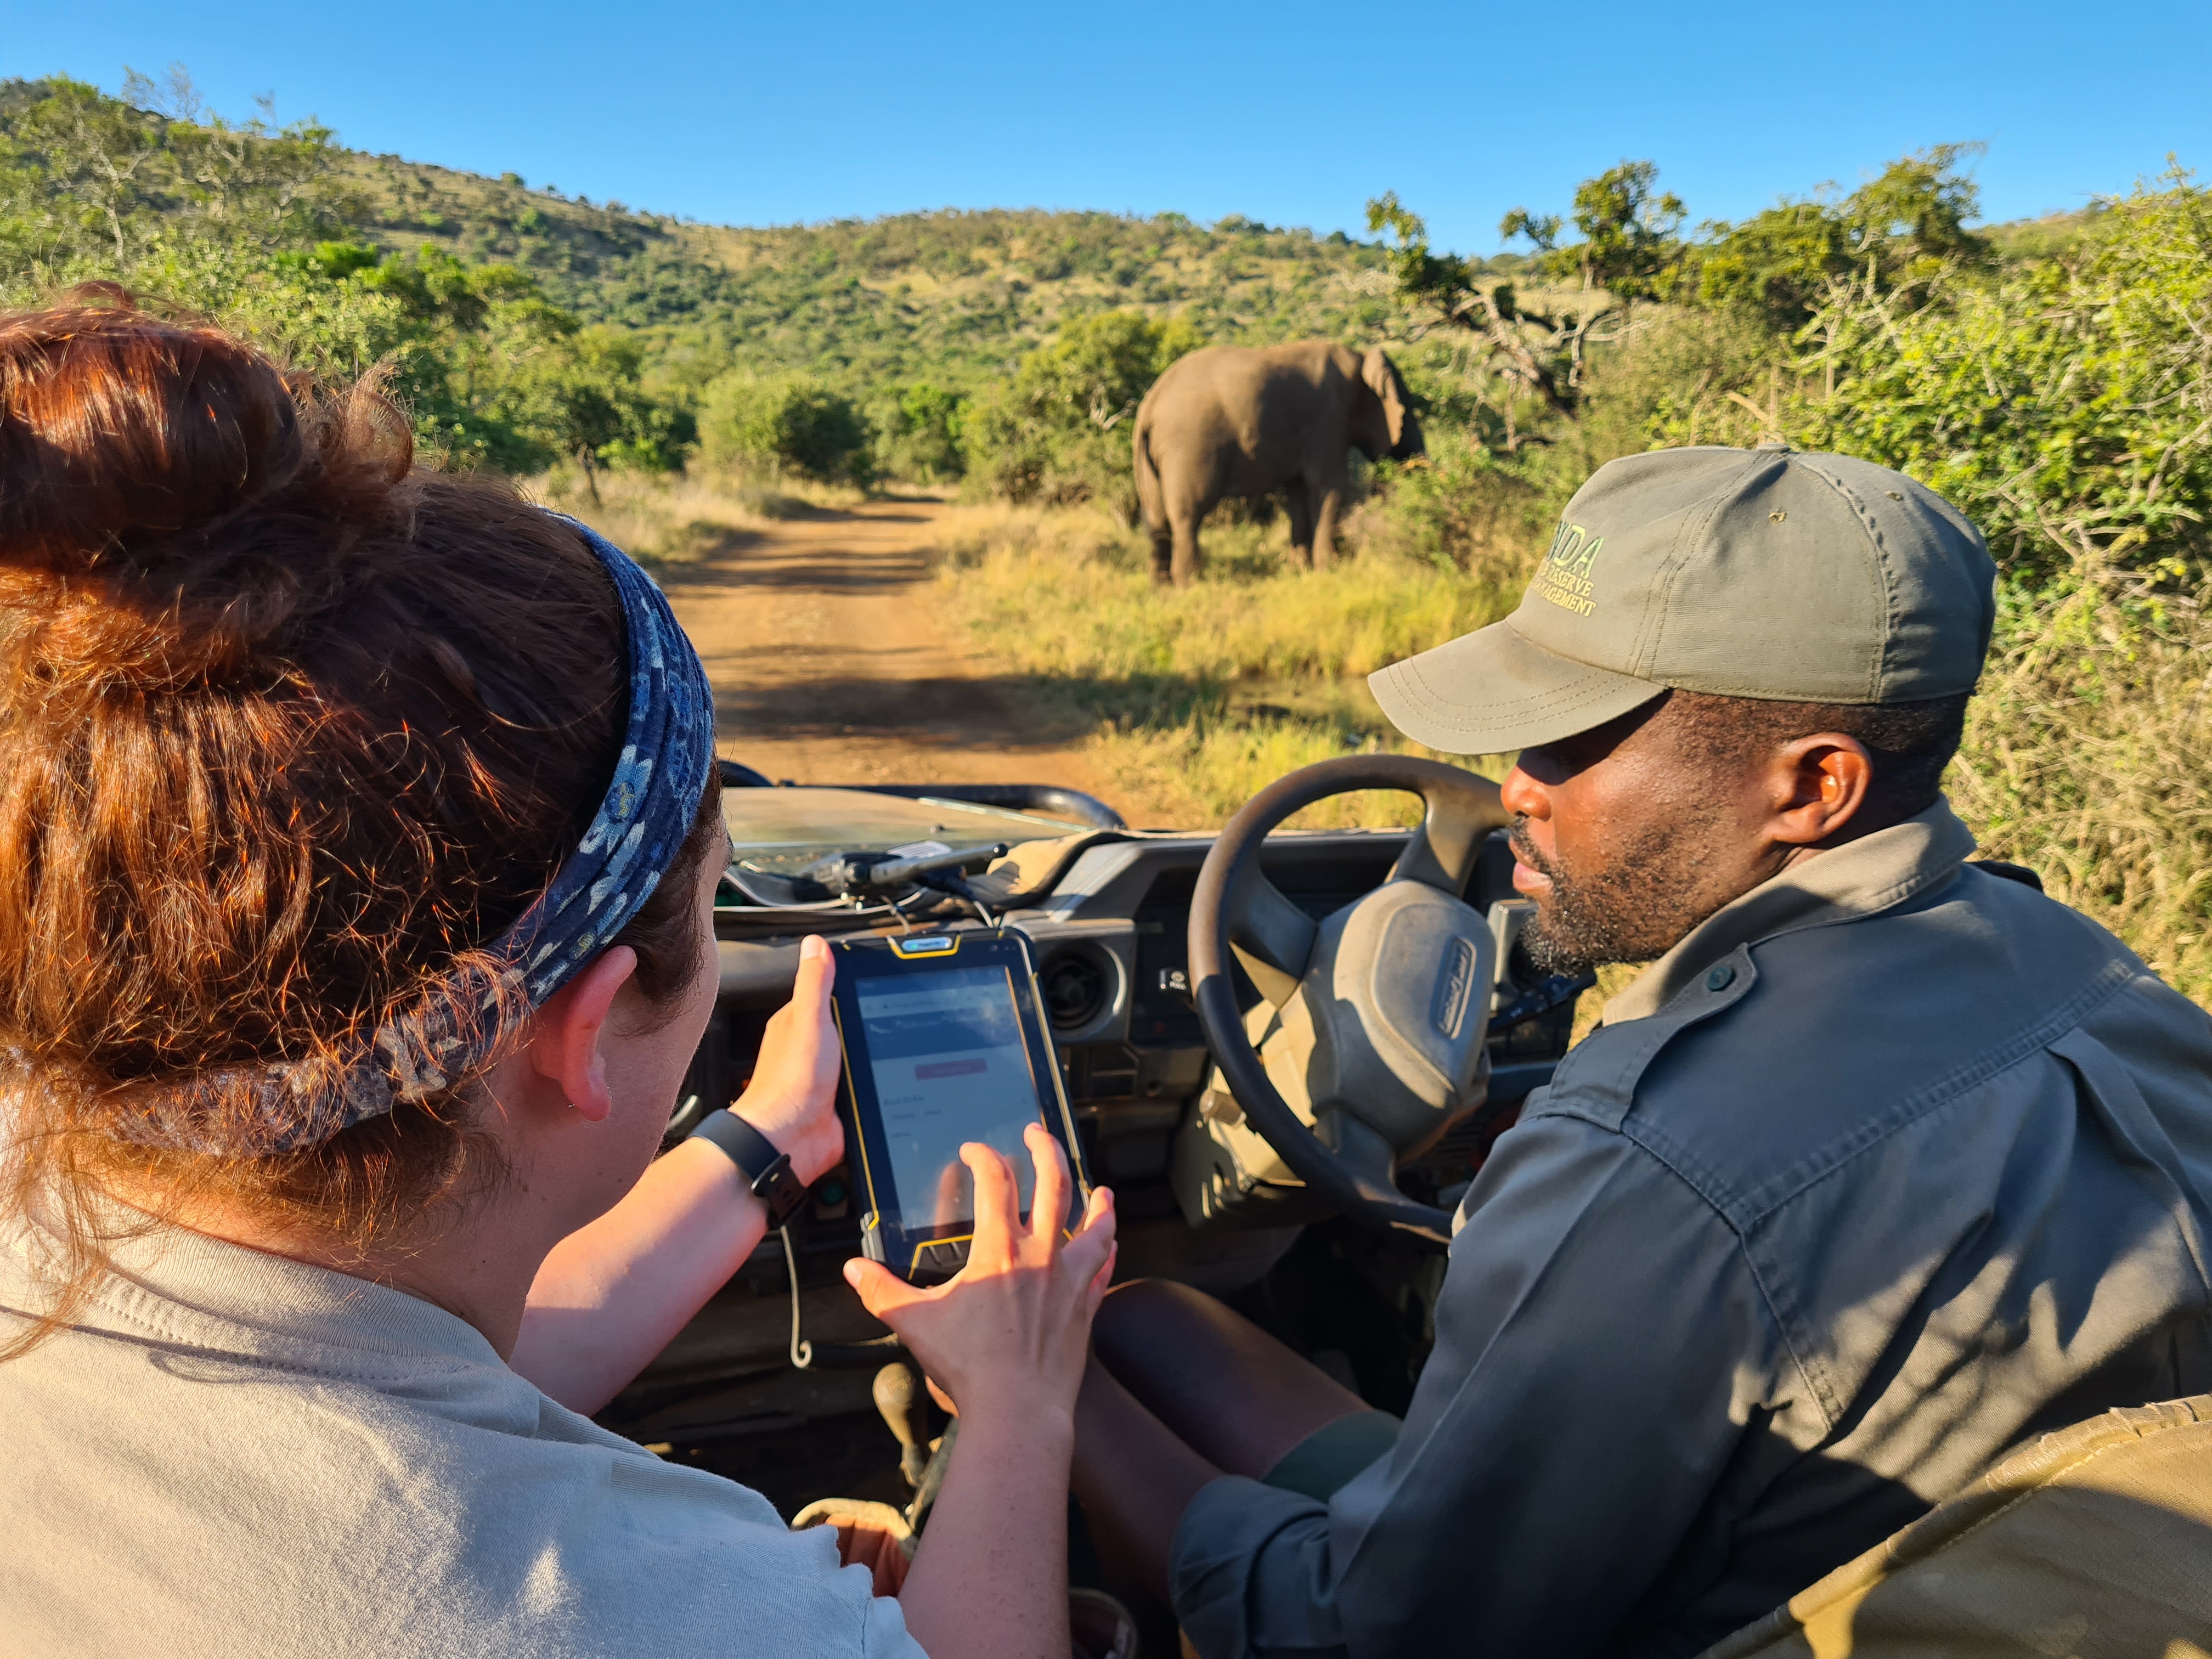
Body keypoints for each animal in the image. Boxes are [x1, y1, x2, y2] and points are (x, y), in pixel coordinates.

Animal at [1132, 341, 1423, 586]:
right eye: (1408, 407)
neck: (1360, 359)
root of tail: (1150, 404)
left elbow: (1299, 493)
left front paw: (1301, 572)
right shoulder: (1328, 420)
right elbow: (1331, 487)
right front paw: (1330, 571)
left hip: (1150, 455)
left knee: (1156, 516)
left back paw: (1162, 587)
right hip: (1190, 447)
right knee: (1187, 514)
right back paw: (1189, 586)